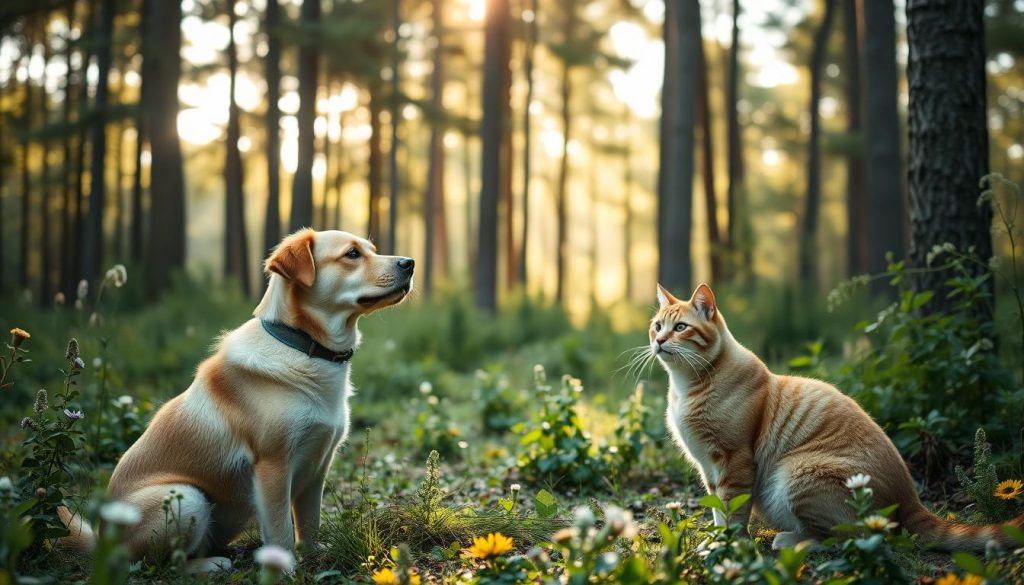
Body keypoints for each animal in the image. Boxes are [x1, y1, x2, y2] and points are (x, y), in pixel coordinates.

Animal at [65, 228, 411, 573]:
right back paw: (212, 564)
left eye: (372, 249)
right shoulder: (273, 465)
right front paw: (286, 571)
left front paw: (314, 557)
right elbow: (281, 532)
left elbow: (309, 524)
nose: (410, 263)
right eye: (352, 254)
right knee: (161, 564)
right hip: (187, 497)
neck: (303, 346)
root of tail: (104, 541)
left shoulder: (318, 466)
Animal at [651, 280, 1019, 553]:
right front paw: (715, 542)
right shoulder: (708, 467)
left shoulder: (734, 461)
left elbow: (733, 511)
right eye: (657, 326)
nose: (659, 340)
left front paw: (731, 546)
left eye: (680, 327)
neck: (687, 387)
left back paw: (792, 541)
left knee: (860, 537)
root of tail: (913, 501)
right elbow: (717, 509)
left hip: (796, 473)